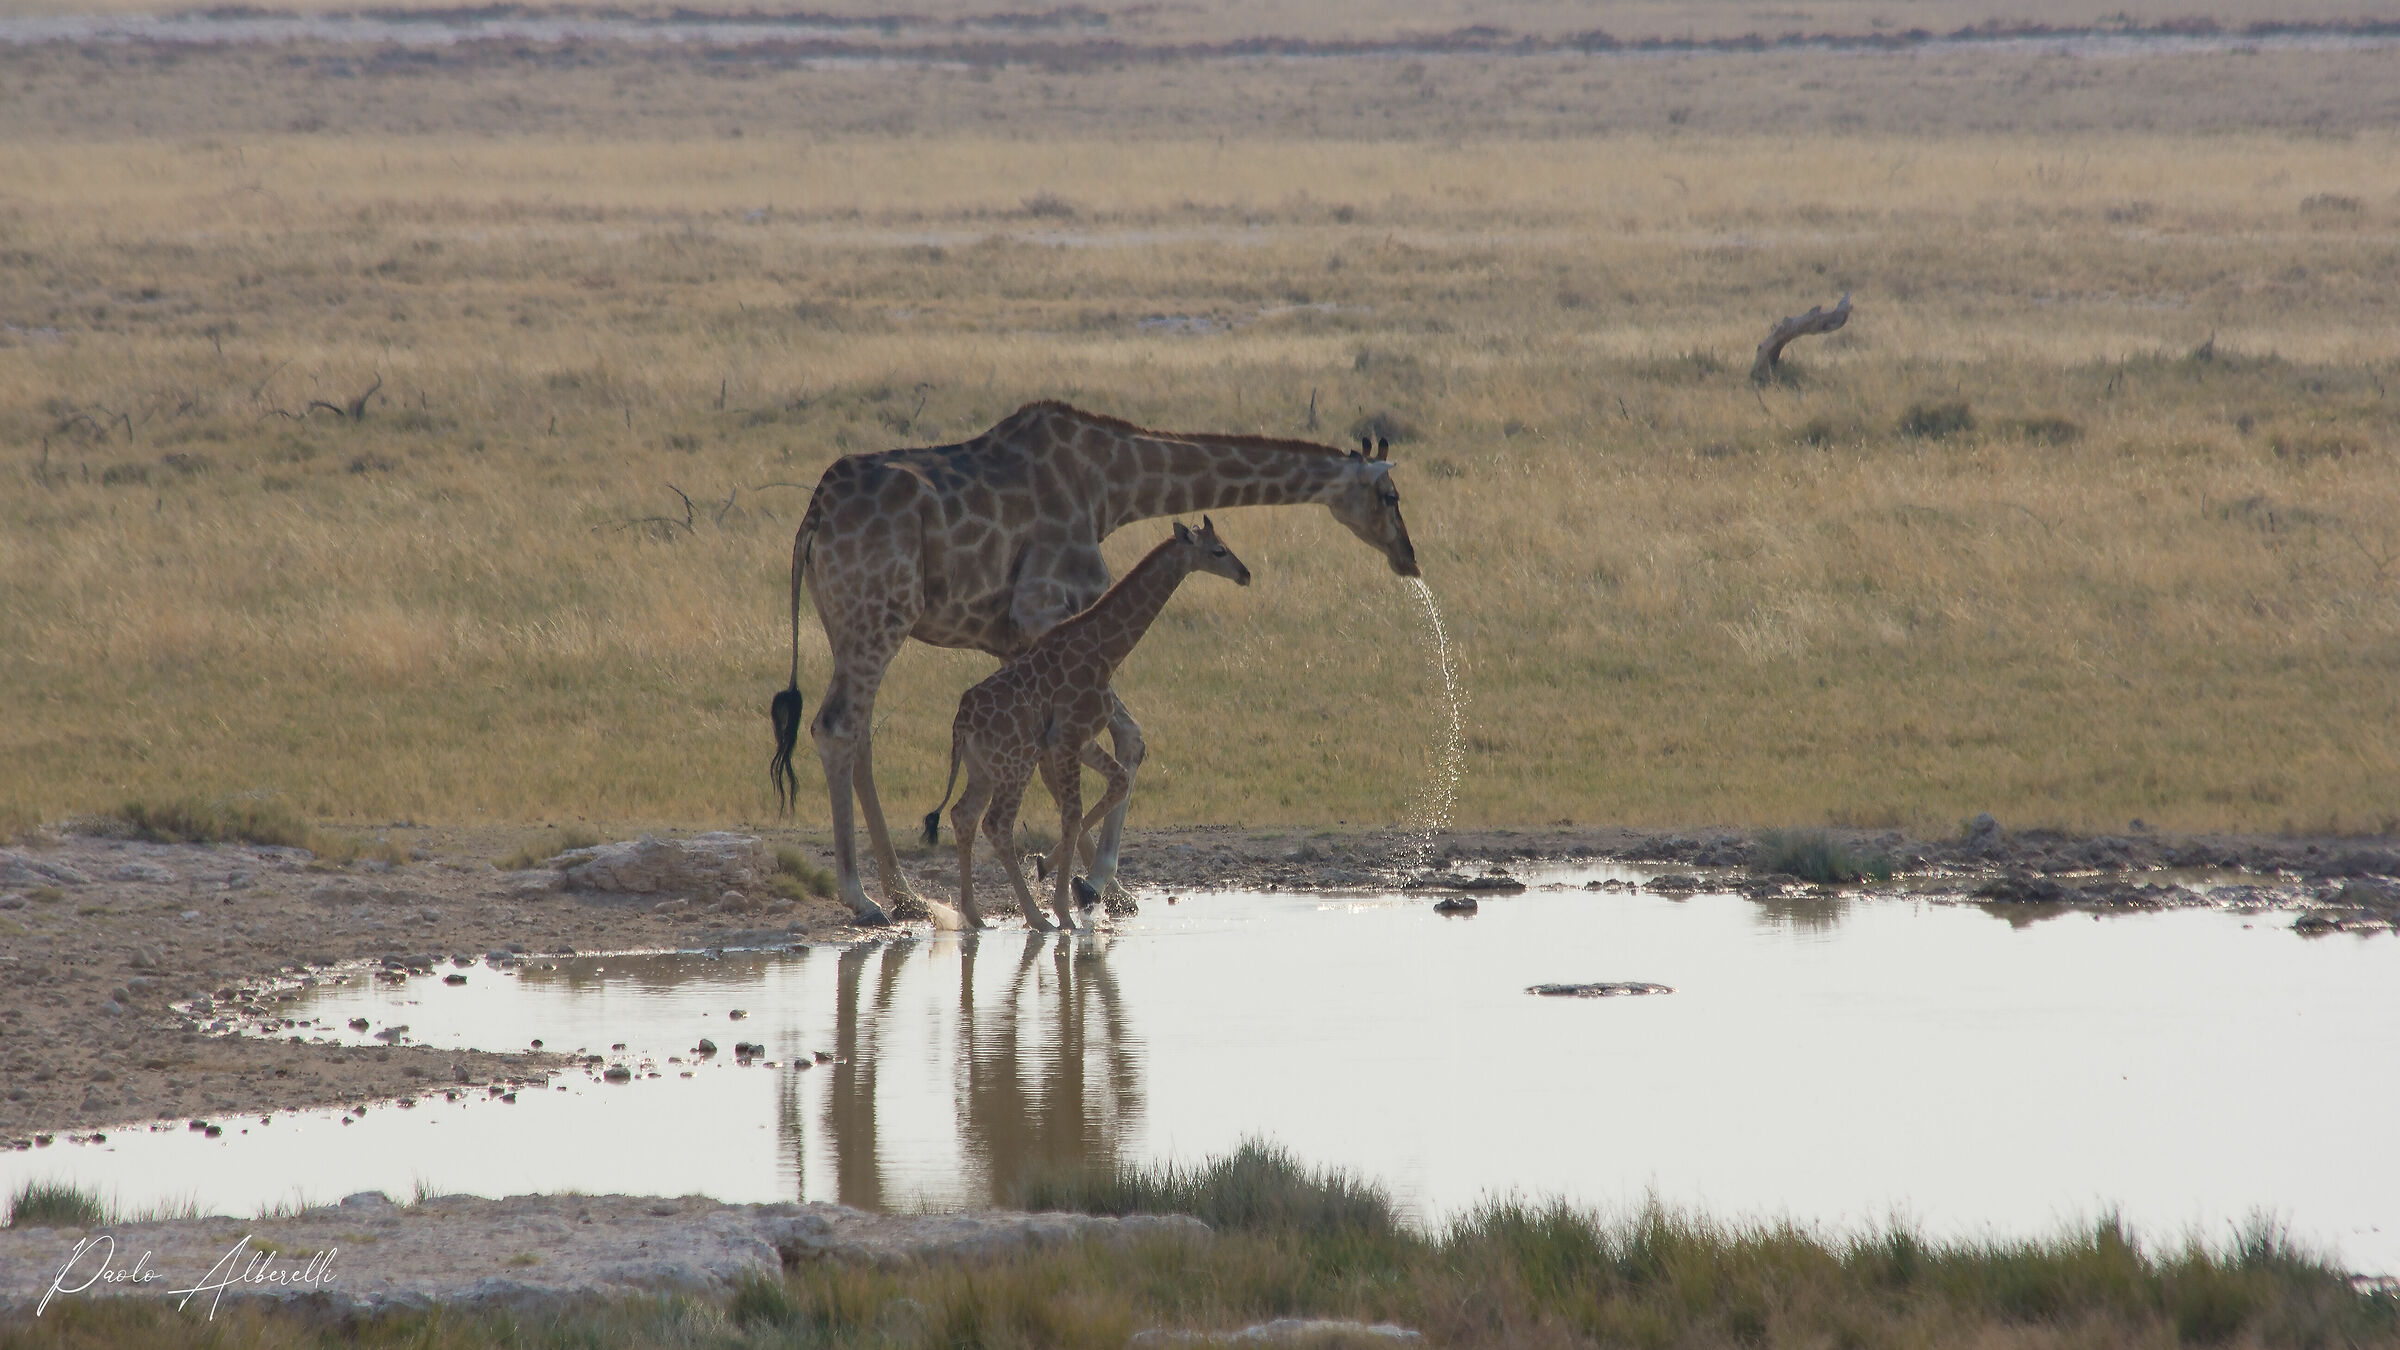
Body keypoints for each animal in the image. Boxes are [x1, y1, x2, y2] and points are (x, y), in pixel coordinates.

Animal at [921, 519, 1251, 931]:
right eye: (1218, 550)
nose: (1245, 574)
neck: (1103, 651)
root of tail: (960, 724)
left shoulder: (1080, 740)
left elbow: (1115, 784)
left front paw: (1053, 872)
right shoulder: (1066, 738)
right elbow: (1072, 814)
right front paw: (1065, 906)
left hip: (982, 768)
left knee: (963, 815)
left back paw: (976, 916)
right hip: (1015, 763)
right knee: (997, 824)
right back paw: (1038, 919)